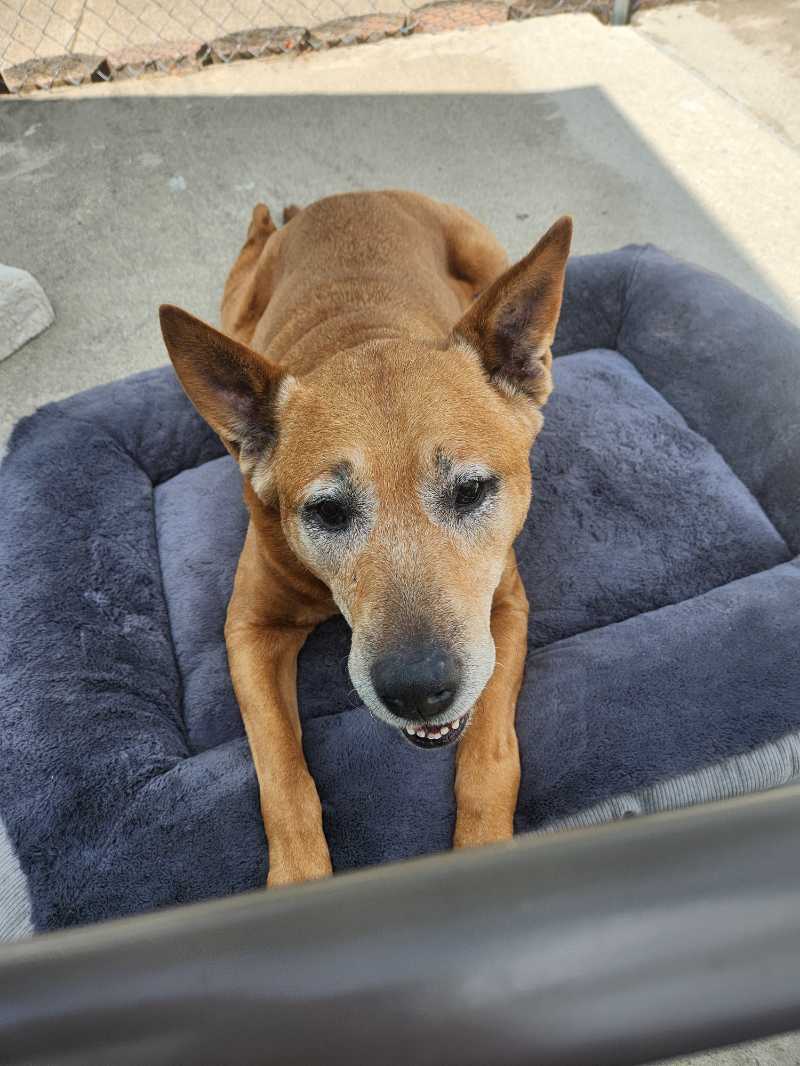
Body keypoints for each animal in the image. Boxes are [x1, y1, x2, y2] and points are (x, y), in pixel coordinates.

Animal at [159, 191, 572, 887]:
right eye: (326, 512)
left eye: (471, 490)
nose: (417, 690)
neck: (363, 335)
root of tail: (342, 197)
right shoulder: (249, 629)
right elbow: (282, 773)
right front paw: (300, 879)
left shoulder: (506, 609)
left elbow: (490, 752)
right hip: (237, 307)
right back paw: (267, 216)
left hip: (484, 250)